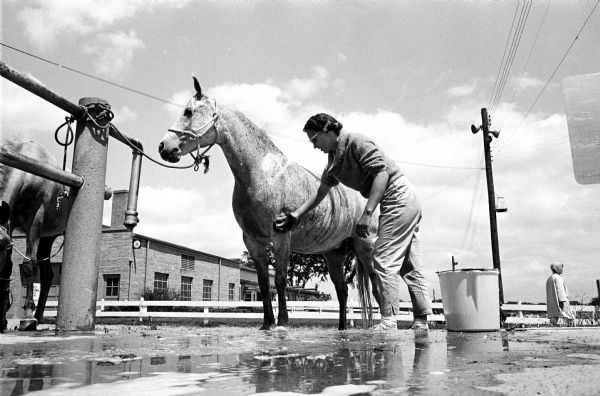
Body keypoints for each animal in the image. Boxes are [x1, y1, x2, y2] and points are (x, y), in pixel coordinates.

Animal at [0, 139, 70, 328]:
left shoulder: (36, 216)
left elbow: (29, 265)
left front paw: (27, 316)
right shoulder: (10, 219)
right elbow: (8, 267)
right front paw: (2, 320)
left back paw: (34, 317)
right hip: (47, 238)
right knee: (47, 276)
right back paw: (38, 316)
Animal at [158, 78, 380, 332]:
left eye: (188, 111)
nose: (164, 147)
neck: (261, 174)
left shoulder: (281, 236)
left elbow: (281, 281)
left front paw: (282, 323)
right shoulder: (253, 241)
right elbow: (264, 284)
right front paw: (266, 324)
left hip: (364, 247)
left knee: (377, 282)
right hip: (334, 254)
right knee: (342, 291)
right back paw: (342, 328)